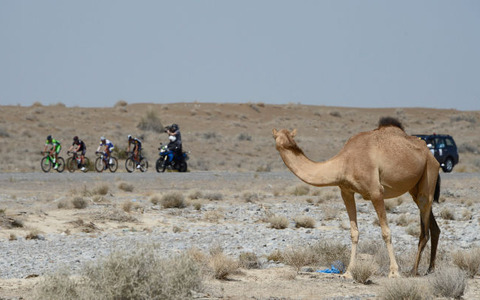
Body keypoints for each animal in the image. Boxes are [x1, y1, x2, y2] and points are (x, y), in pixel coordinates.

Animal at [274, 118, 442, 278]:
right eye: (277, 137)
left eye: (288, 138)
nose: (286, 145)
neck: (344, 162)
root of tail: (430, 153)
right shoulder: (346, 192)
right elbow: (354, 232)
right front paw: (348, 272)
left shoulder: (376, 192)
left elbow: (386, 232)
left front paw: (394, 272)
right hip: (415, 188)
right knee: (433, 227)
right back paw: (430, 269)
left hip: (429, 174)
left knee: (424, 229)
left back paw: (413, 271)